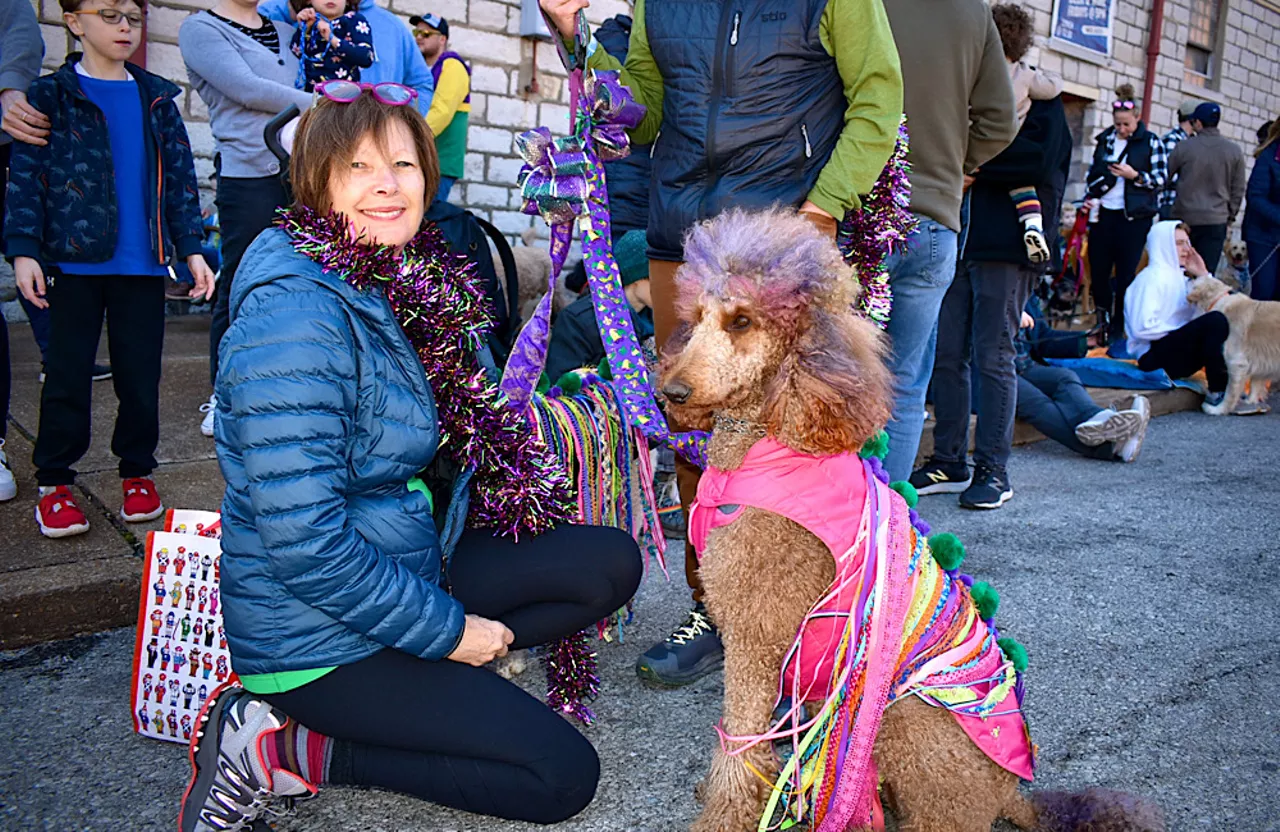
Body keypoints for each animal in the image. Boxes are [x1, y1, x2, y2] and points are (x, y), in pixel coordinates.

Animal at [665, 207, 1167, 829]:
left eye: (741, 321)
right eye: (697, 320)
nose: (672, 391)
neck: (772, 438)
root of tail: (1012, 792)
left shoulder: (756, 638)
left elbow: (740, 743)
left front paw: (727, 811)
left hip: (909, 722)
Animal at [1182, 273, 1274, 412]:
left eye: (1195, 281)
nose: (1189, 276)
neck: (1219, 300)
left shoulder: (1237, 363)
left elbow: (1230, 392)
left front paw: (1219, 409)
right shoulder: (1259, 361)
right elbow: (1255, 383)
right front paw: (1251, 402)